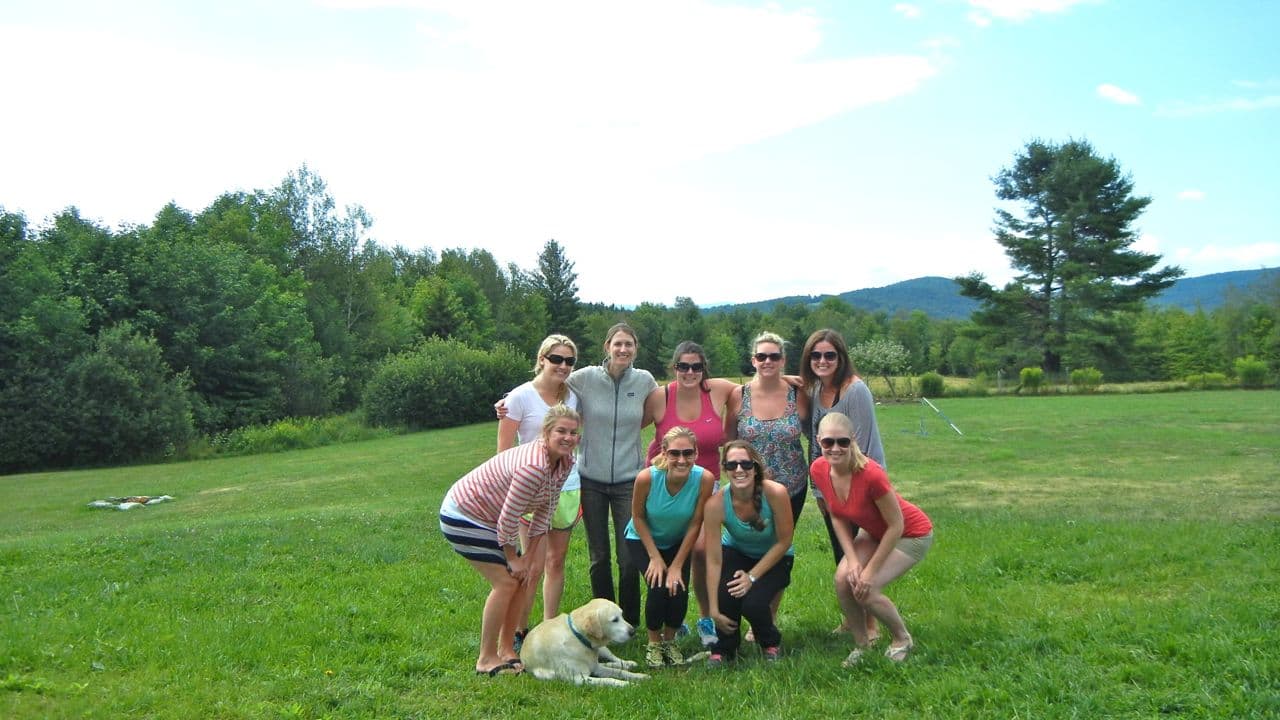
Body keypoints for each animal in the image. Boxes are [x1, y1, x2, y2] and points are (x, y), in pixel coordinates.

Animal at [517, 594, 650, 681]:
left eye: (622, 615)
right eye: (614, 620)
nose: (633, 631)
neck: (577, 636)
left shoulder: (596, 668)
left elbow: (620, 672)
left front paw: (639, 676)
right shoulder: (580, 679)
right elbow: (609, 679)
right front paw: (626, 684)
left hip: (603, 649)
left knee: (614, 659)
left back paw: (628, 663)